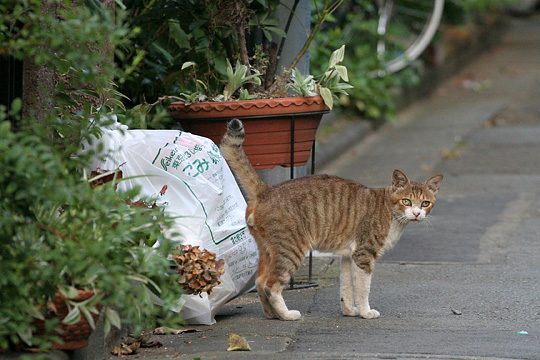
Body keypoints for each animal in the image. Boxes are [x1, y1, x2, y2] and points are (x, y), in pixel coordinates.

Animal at [219, 118, 442, 320]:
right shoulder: (364, 255)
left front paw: (349, 311)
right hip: (291, 249)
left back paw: (271, 315)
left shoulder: (348, 256)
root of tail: (266, 191)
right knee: (271, 285)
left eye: (425, 203)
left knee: (260, 281)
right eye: (406, 201)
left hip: (268, 249)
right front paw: (366, 312)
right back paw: (287, 315)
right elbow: (362, 289)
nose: (416, 213)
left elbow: (346, 289)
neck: (390, 211)